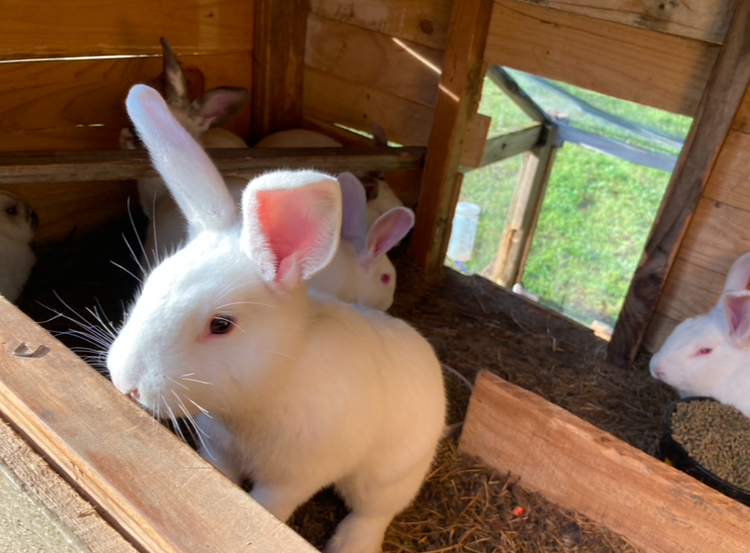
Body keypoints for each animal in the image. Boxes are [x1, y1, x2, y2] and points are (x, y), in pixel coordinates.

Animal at [107, 84, 446, 553]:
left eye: (221, 325)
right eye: (149, 286)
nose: (126, 383)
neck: (261, 396)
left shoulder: (295, 476)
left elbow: (268, 506)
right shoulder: (219, 450)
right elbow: (222, 478)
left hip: (388, 476)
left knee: (372, 512)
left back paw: (349, 544)